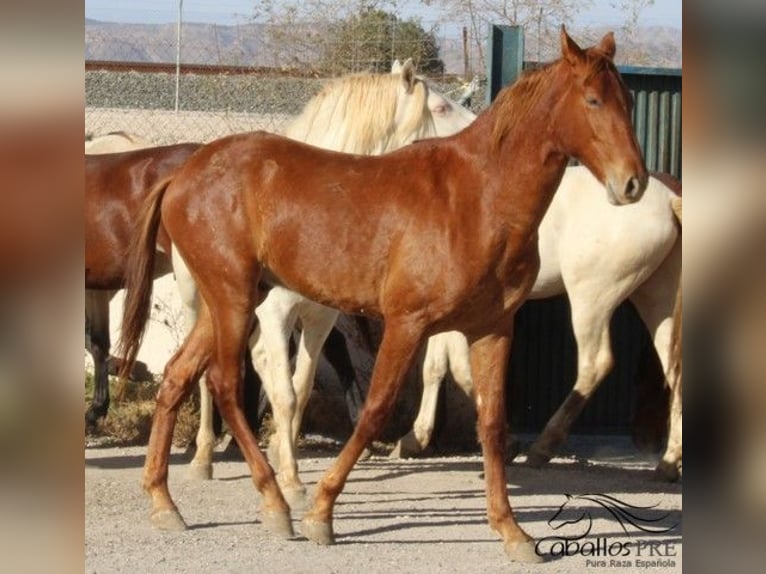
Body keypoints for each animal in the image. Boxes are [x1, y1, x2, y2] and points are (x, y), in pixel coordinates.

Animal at [120, 29, 648, 564]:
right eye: (592, 99)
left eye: (626, 100)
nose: (633, 183)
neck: (477, 196)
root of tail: (185, 173)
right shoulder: (406, 323)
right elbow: (374, 410)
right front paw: (321, 512)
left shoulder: (492, 328)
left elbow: (492, 423)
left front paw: (511, 530)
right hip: (234, 299)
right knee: (225, 384)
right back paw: (274, 502)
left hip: (227, 302)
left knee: (177, 376)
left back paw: (164, 502)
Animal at [396, 170, 684, 482]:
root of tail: (670, 200)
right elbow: (436, 368)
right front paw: (414, 439)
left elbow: (461, 370)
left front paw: (507, 442)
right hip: (655, 297)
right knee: (674, 369)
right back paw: (669, 463)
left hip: (591, 298)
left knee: (595, 364)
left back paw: (542, 447)